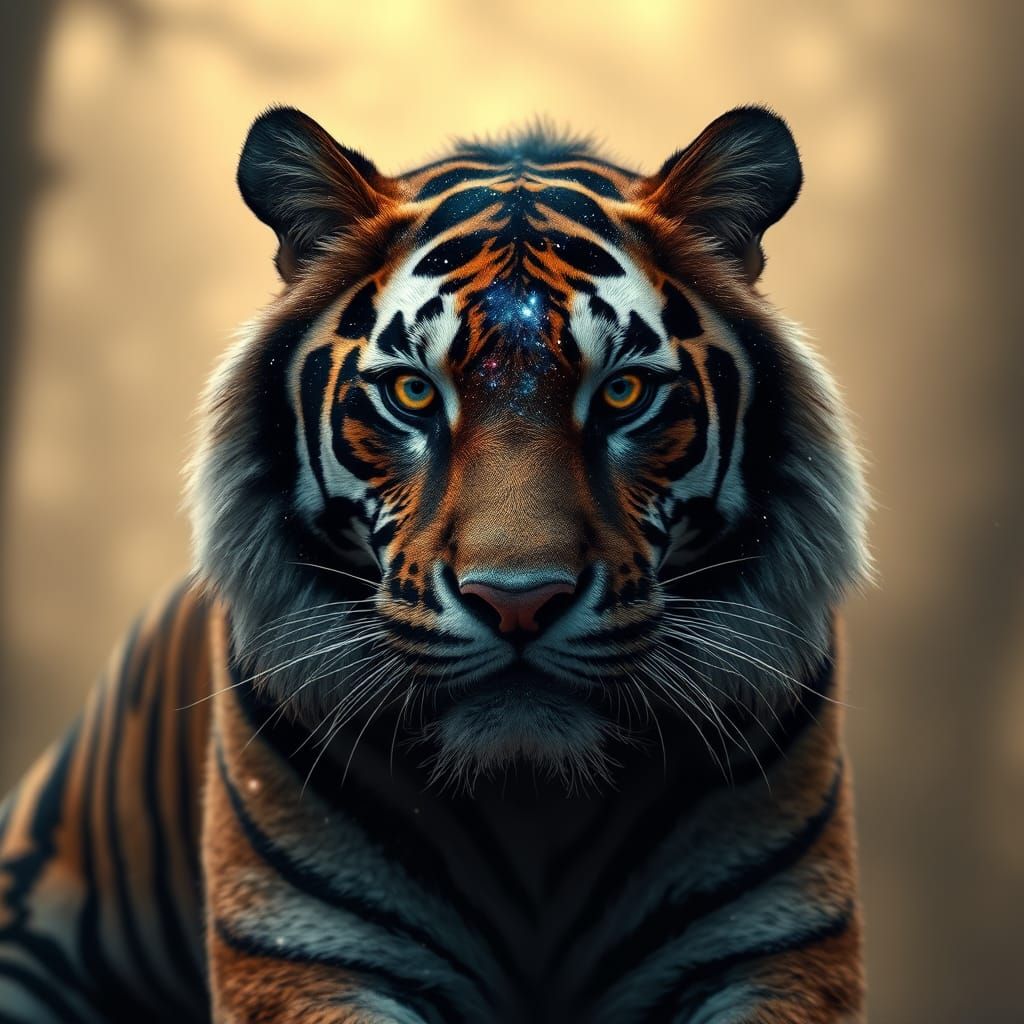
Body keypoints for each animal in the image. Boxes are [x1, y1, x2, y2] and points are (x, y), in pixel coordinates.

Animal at [0, 105, 870, 1023]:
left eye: (624, 393)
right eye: (413, 393)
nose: (519, 601)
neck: (533, 807)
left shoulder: (775, 949)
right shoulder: (308, 953)